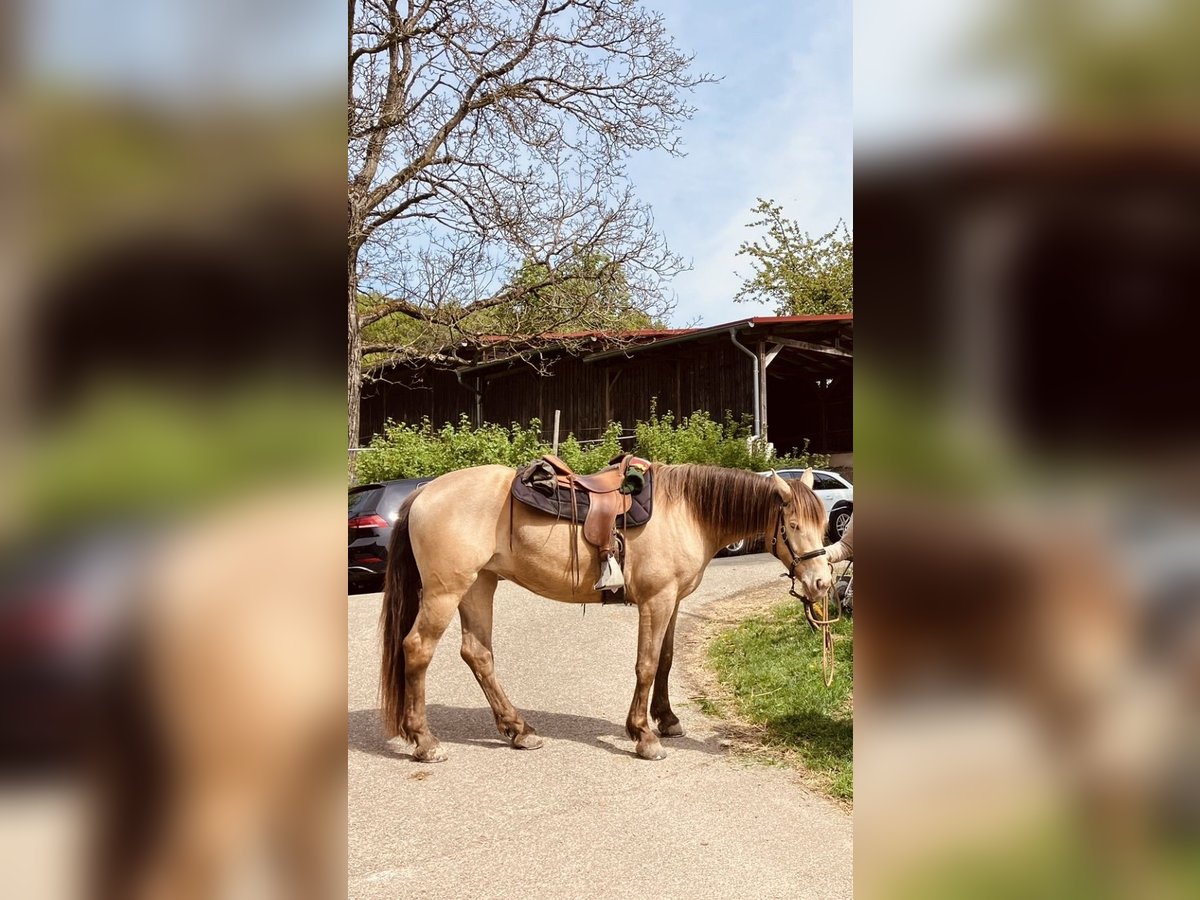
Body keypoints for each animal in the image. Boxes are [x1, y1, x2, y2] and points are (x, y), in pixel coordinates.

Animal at [379, 463, 832, 762]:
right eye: (792, 525)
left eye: (824, 523)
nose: (821, 584)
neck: (685, 510)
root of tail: (424, 493)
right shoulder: (656, 601)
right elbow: (646, 665)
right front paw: (644, 736)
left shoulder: (674, 601)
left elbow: (666, 661)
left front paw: (666, 719)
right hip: (446, 591)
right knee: (417, 649)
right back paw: (425, 742)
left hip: (478, 585)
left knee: (478, 653)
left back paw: (519, 730)